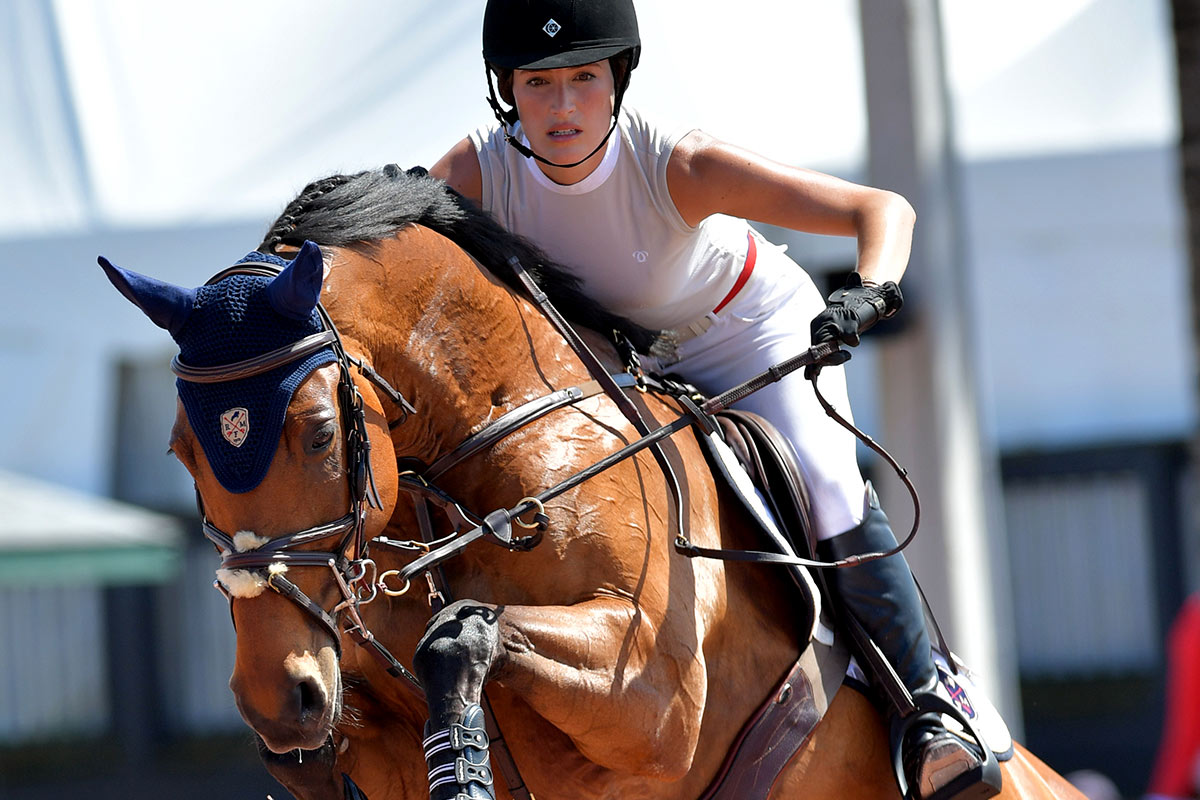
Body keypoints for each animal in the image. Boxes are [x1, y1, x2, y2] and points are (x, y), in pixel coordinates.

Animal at [98, 165, 1084, 796]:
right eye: (181, 453)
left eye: (314, 434)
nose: (278, 696)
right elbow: (363, 730)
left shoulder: (653, 699)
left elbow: (465, 635)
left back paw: (945, 744)